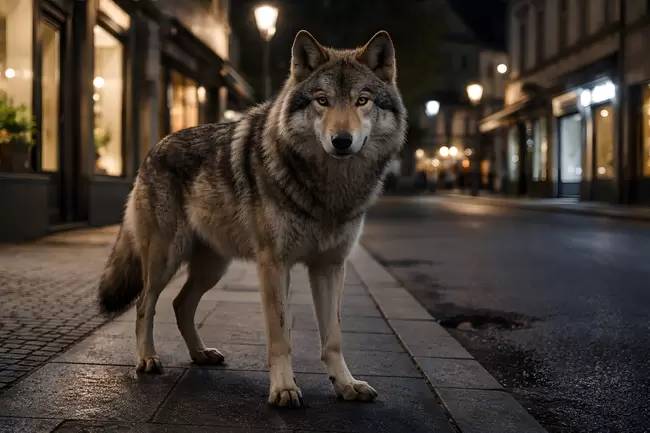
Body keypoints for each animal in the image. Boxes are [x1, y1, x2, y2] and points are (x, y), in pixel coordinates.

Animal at [97, 29, 407, 408]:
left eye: (362, 100)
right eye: (322, 100)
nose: (342, 140)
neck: (328, 188)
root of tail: (153, 148)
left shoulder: (330, 266)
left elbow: (333, 337)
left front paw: (346, 385)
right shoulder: (274, 265)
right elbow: (280, 335)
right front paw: (284, 388)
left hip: (213, 267)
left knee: (180, 304)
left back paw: (201, 354)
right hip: (165, 260)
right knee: (145, 305)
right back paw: (146, 358)